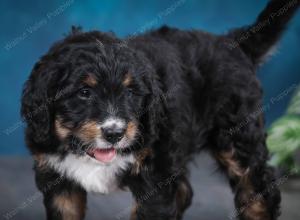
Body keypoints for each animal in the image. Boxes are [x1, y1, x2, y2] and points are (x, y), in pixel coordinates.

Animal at [21, 0, 300, 220]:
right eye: (84, 92)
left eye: (131, 92)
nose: (115, 134)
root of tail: (232, 42)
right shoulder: (57, 179)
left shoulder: (155, 176)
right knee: (185, 191)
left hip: (239, 136)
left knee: (258, 189)